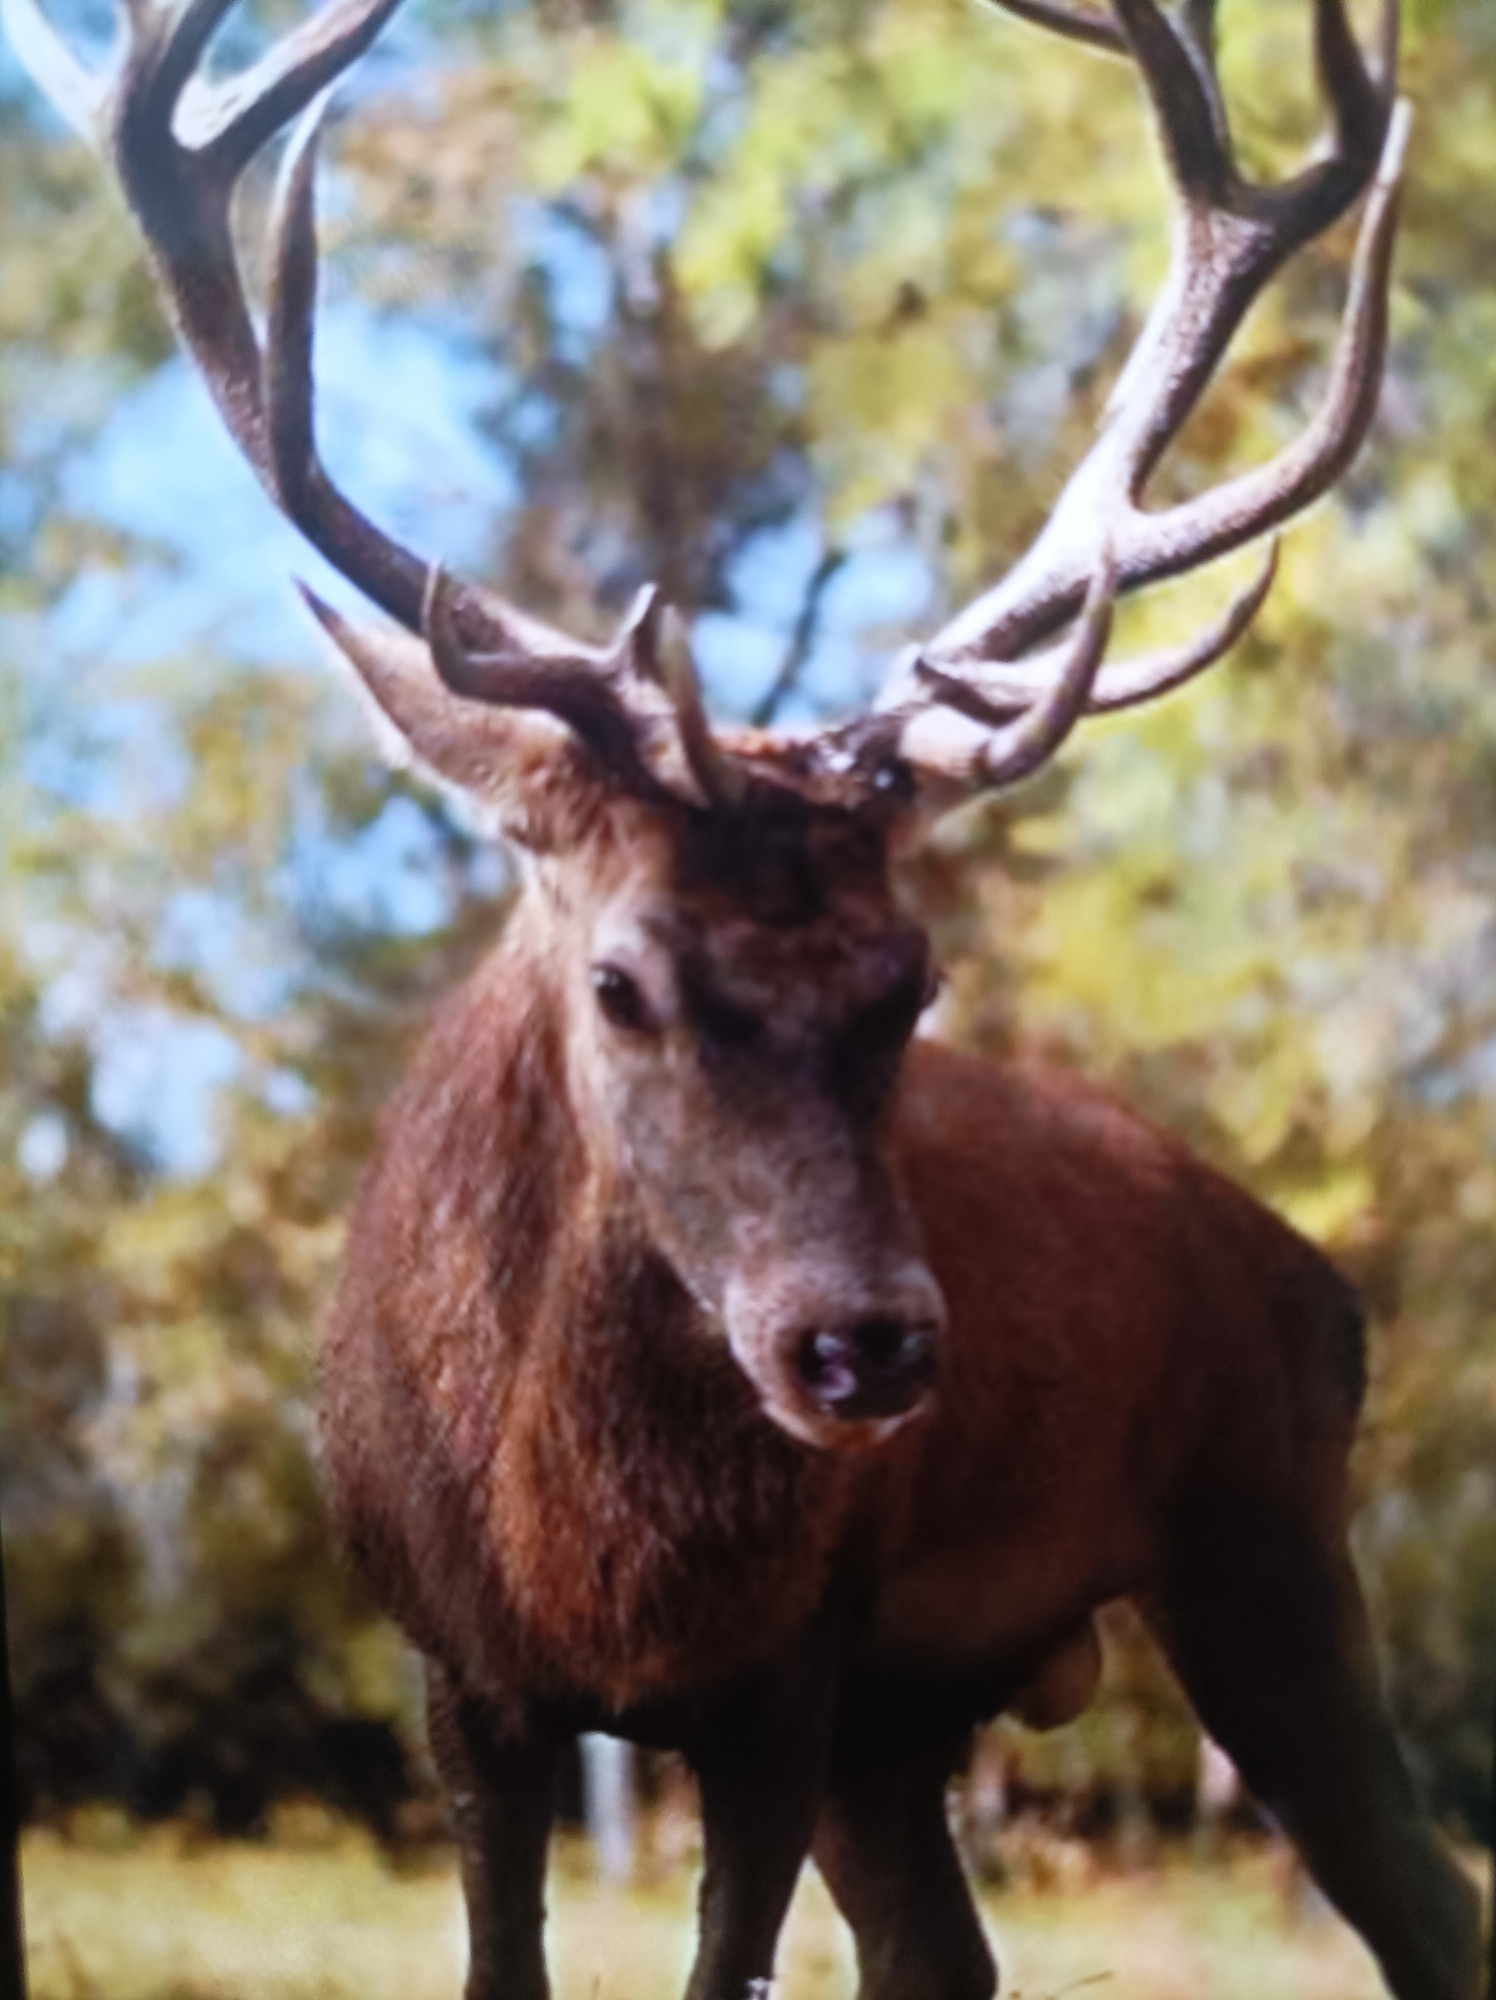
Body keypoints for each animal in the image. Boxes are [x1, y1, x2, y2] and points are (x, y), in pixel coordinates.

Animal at [4, 0, 1482, 1993]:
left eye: (913, 978)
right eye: (622, 978)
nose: (866, 1347)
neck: (591, 1571)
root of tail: (1317, 1275)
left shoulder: (789, 1675)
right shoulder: (459, 1673)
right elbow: (503, 1961)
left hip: (1266, 1533)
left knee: (1427, 1899)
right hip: (931, 1713)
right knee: (949, 1953)